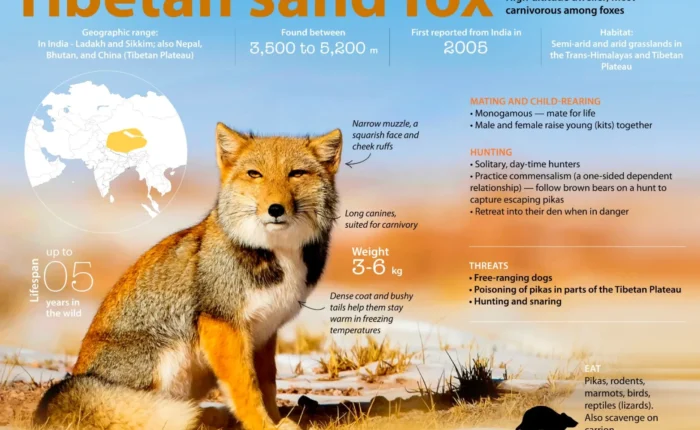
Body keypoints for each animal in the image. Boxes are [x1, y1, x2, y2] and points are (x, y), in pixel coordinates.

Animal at [33, 123, 343, 430]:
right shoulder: (222, 322)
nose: (275, 209)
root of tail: (77, 378)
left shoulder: (265, 330)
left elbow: (267, 384)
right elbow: (246, 387)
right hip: (168, 356)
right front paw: (263, 425)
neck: (277, 254)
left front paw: (275, 420)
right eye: (255, 174)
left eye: (296, 173)